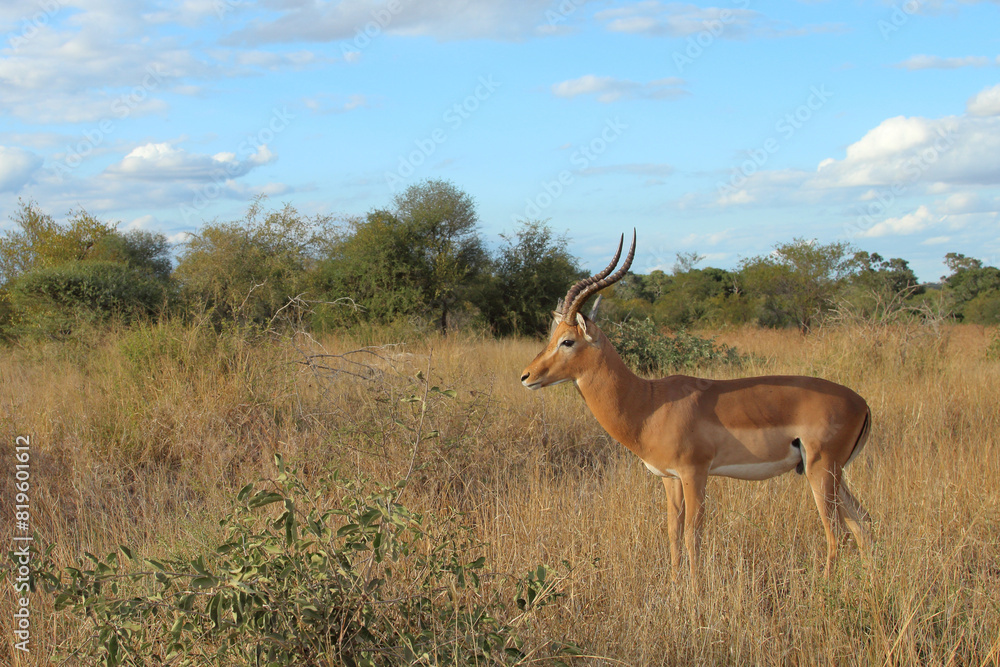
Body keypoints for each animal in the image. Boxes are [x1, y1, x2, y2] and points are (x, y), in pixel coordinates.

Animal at [520, 231, 871, 587]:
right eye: (552, 336)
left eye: (567, 340)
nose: (527, 376)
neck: (649, 404)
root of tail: (863, 404)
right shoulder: (669, 478)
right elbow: (673, 532)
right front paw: (676, 586)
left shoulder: (695, 473)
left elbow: (693, 534)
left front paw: (695, 590)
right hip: (835, 474)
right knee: (862, 522)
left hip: (821, 470)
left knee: (837, 532)